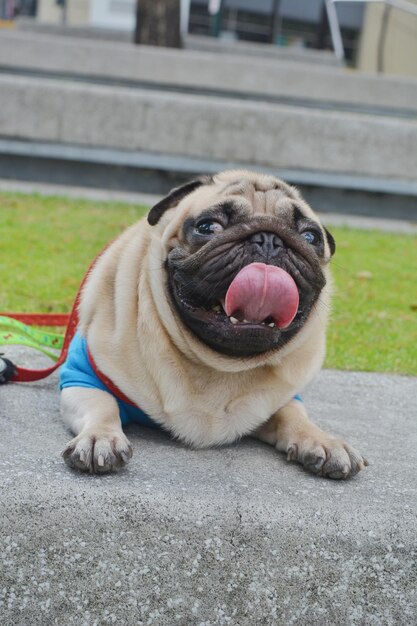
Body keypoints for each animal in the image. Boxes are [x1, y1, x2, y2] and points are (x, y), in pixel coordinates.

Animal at [60, 168, 366, 476]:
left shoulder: (283, 399)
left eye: (310, 236)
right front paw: (100, 437)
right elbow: (103, 406)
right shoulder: (83, 377)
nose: (269, 238)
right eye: (208, 227)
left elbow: (294, 416)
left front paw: (323, 441)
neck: (219, 364)